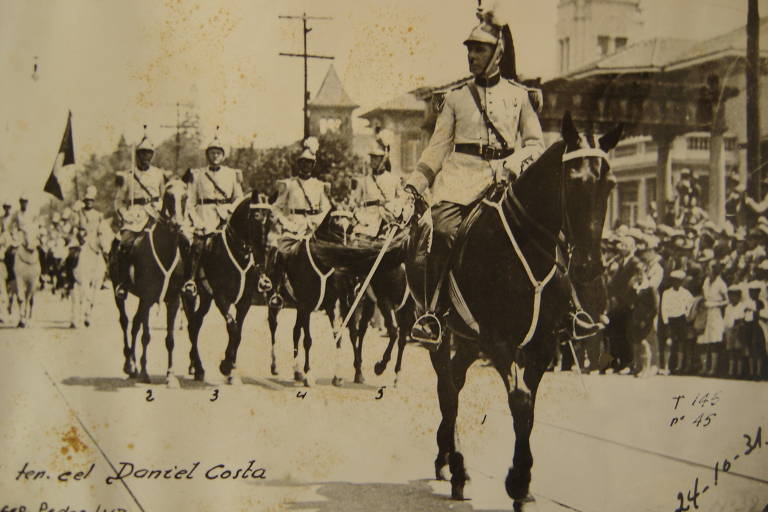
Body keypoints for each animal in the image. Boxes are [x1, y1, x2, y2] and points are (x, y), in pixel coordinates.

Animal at [109, 180, 189, 384]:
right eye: (169, 196)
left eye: (185, 196)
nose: (177, 224)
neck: (165, 249)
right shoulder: (147, 297)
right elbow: (146, 335)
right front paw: (145, 372)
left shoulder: (173, 300)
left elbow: (170, 339)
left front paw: (170, 375)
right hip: (119, 291)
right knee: (125, 321)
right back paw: (129, 365)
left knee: (135, 324)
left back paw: (134, 365)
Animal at [184, 192, 272, 384]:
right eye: (256, 215)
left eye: (270, 217)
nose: (265, 250)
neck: (239, 252)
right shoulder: (221, 298)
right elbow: (232, 327)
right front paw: (225, 365)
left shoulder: (245, 301)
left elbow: (238, 332)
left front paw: (230, 366)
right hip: (189, 295)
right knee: (192, 324)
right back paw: (198, 367)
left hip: (206, 298)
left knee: (196, 322)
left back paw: (196, 366)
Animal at [404, 113, 620, 508]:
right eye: (574, 180)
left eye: (609, 184)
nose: (589, 268)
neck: (526, 245)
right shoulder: (498, 340)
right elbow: (519, 401)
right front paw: (517, 482)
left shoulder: (543, 344)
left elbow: (529, 409)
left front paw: (525, 483)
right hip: (441, 335)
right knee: (448, 388)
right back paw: (457, 469)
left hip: (468, 340)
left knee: (454, 381)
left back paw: (447, 457)